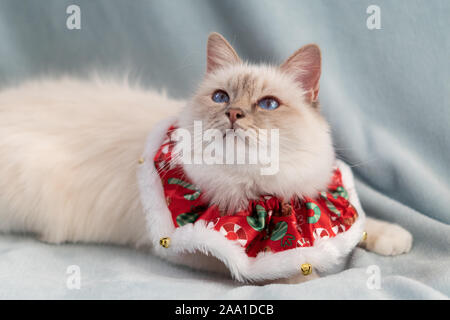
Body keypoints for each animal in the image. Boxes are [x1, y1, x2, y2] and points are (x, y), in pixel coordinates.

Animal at [0, 32, 412, 282]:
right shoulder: (198, 249)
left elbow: (360, 224)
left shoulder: (311, 198)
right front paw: (315, 271)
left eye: (267, 104)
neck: (259, 188)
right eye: (221, 98)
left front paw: (393, 238)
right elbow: (287, 270)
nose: (233, 114)